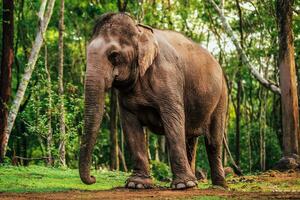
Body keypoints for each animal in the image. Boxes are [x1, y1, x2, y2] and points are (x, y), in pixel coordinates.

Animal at [79, 11, 227, 190]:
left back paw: (218, 186)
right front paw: (137, 184)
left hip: (222, 96)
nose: (93, 178)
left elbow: (173, 122)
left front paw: (182, 185)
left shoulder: (169, 76)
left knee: (213, 140)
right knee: (191, 139)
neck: (140, 30)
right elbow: (130, 126)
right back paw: (195, 183)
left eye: (113, 55)